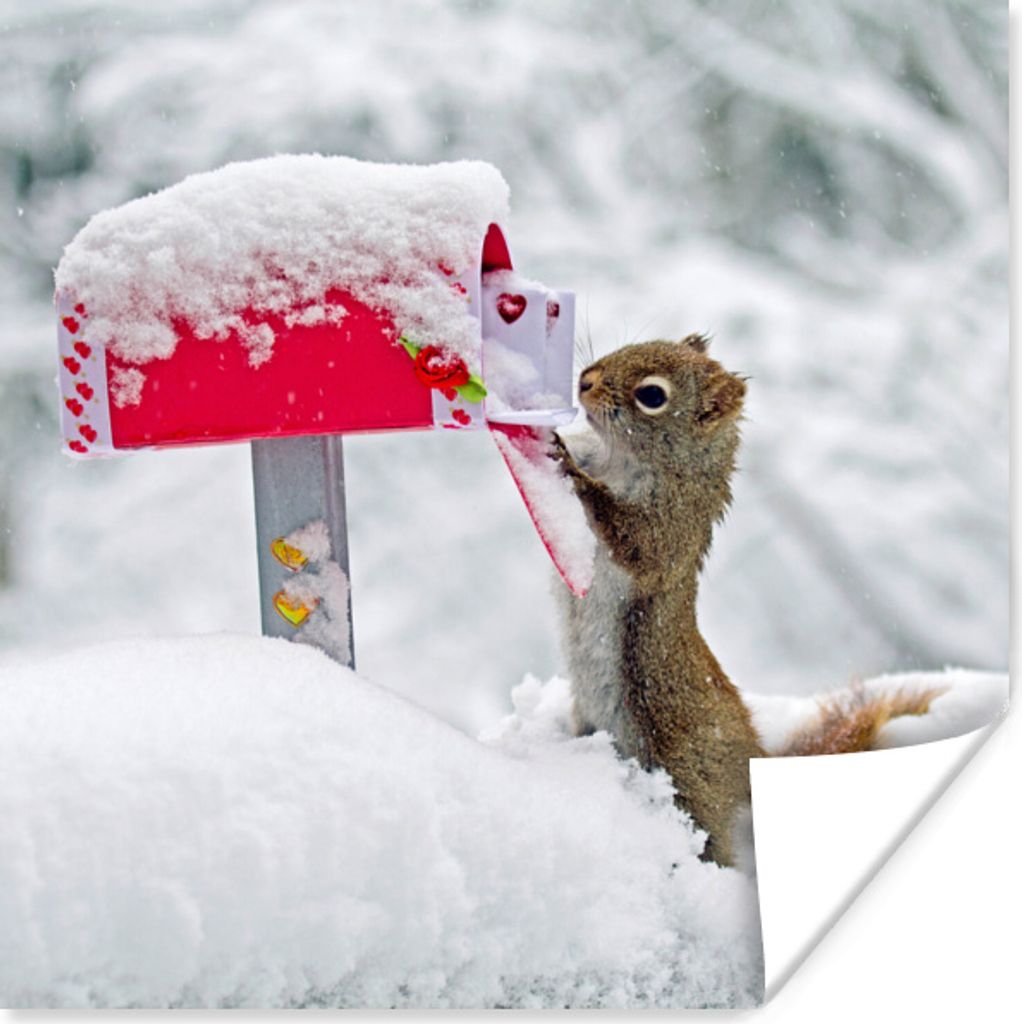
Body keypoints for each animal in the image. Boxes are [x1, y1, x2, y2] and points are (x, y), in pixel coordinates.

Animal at [551, 336, 943, 868]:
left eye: (652, 396)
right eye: (635, 343)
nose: (585, 381)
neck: (621, 457)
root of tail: (751, 762)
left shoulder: (671, 528)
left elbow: (633, 540)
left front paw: (572, 470)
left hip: (689, 777)